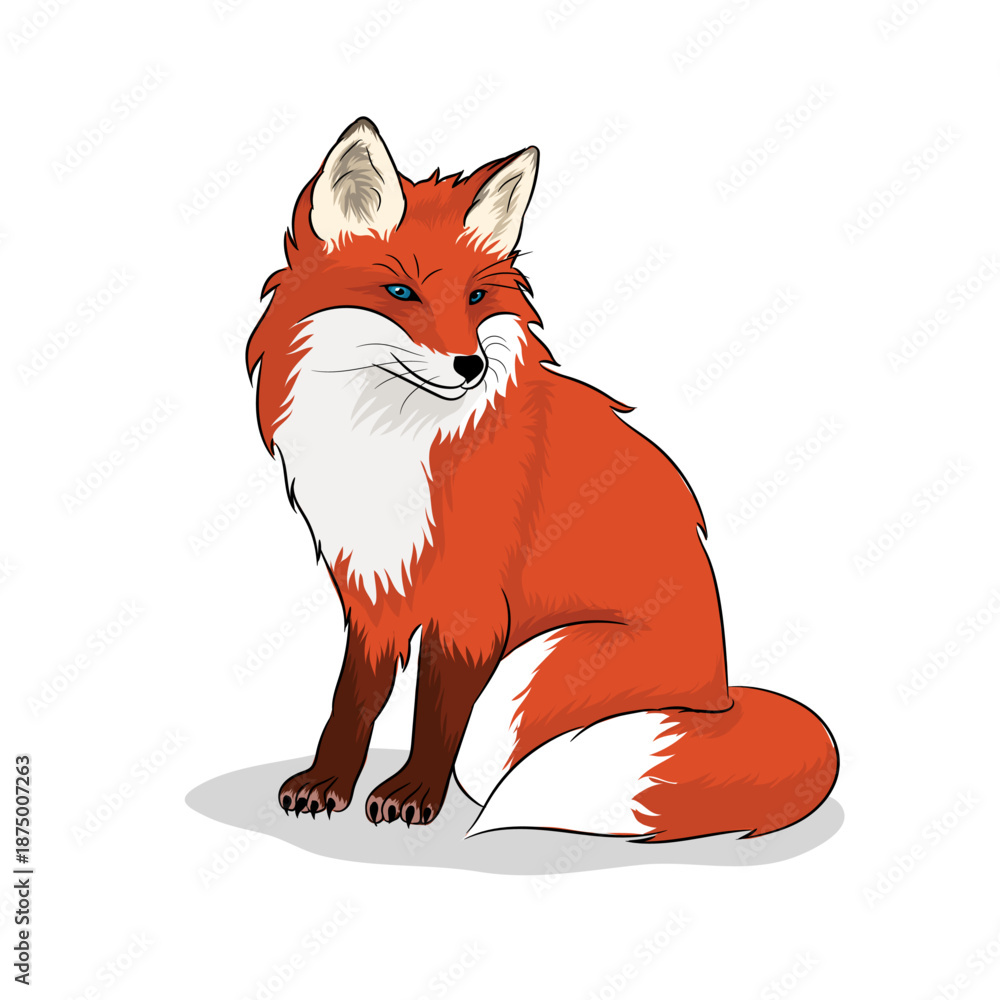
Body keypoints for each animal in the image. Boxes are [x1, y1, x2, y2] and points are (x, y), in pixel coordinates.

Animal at [245, 117, 838, 841]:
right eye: (402, 293)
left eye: (475, 297)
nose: (470, 366)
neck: (392, 435)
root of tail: (722, 697)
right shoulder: (373, 584)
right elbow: (353, 698)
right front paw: (329, 781)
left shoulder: (470, 604)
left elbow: (435, 712)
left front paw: (414, 791)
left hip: (527, 674)